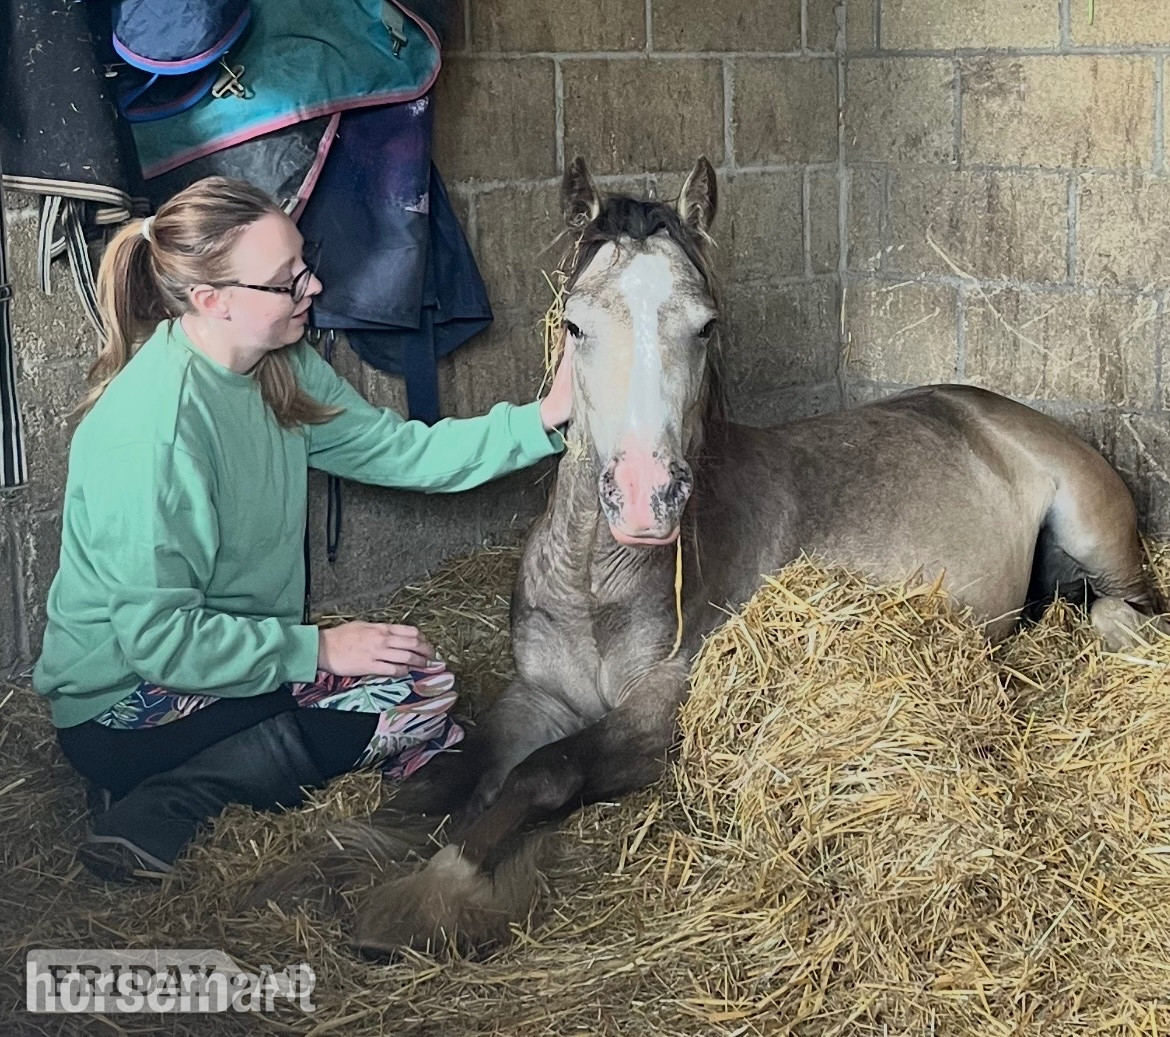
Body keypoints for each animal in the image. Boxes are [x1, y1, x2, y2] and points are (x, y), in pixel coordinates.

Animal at [255, 155, 1168, 956]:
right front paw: (339, 852)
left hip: (1094, 532)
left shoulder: (660, 716)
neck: (598, 581)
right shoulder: (536, 695)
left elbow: (539, 776)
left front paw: (433, 893)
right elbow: (450, 771)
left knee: (1128, 603)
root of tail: (998, 412)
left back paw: (1118, 638)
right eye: (575, 323)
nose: (645, 494)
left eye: (705, 324)